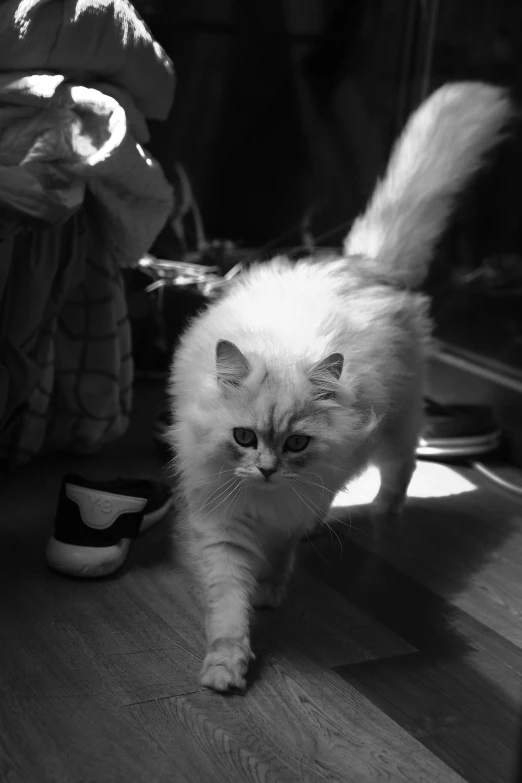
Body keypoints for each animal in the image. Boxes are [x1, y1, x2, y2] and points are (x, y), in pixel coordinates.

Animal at [168, 81, 512, 692]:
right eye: (243, 438)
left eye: (296, 444)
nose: (267, 470)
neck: (265, 500)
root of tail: (365, 265)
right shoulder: (222, 525)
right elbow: (228, 603)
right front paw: (226, 667)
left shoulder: (294, 507)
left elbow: (276, 560)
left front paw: (271, 593)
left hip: (397, 430)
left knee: (402, 471)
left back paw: (380, 514)